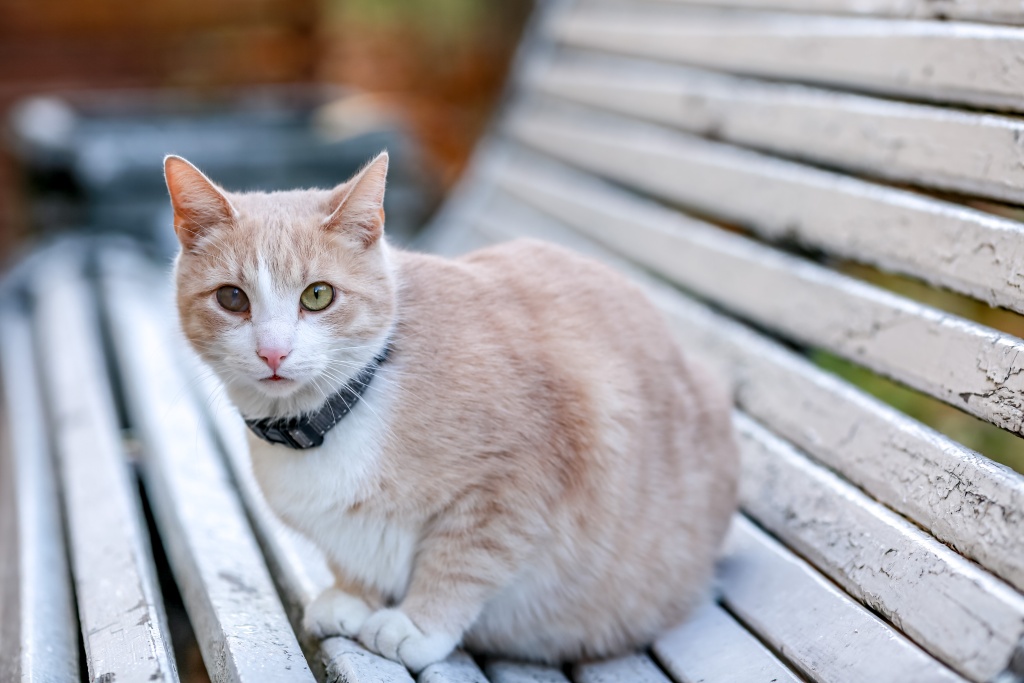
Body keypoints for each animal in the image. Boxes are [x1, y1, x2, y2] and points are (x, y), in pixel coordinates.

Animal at [165, 150, 737, 671]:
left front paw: (418, 624)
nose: (273, 353)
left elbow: (465, 559)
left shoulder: (517, 479)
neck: (338, 413)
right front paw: (353, 594)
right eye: (233, 299)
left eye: (318, 295)